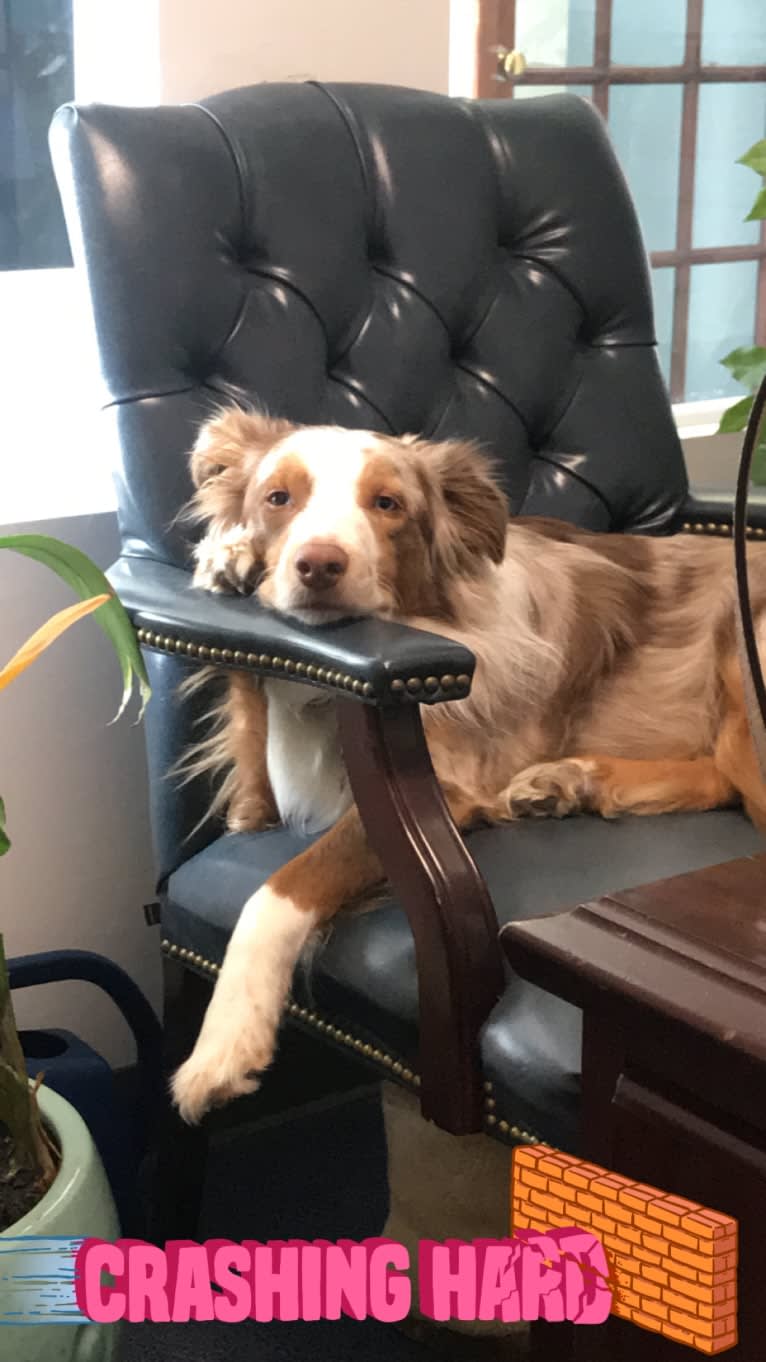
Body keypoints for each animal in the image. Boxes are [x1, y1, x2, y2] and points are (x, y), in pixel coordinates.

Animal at [171, 408, 763, 1122]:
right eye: (277, 498)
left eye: (388, 504)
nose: (318, 565)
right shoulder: (264, 783)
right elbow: (252, 731)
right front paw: (227, 558)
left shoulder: (448, 787)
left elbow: (279, 888)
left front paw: (223, 1042)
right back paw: (570, 782)